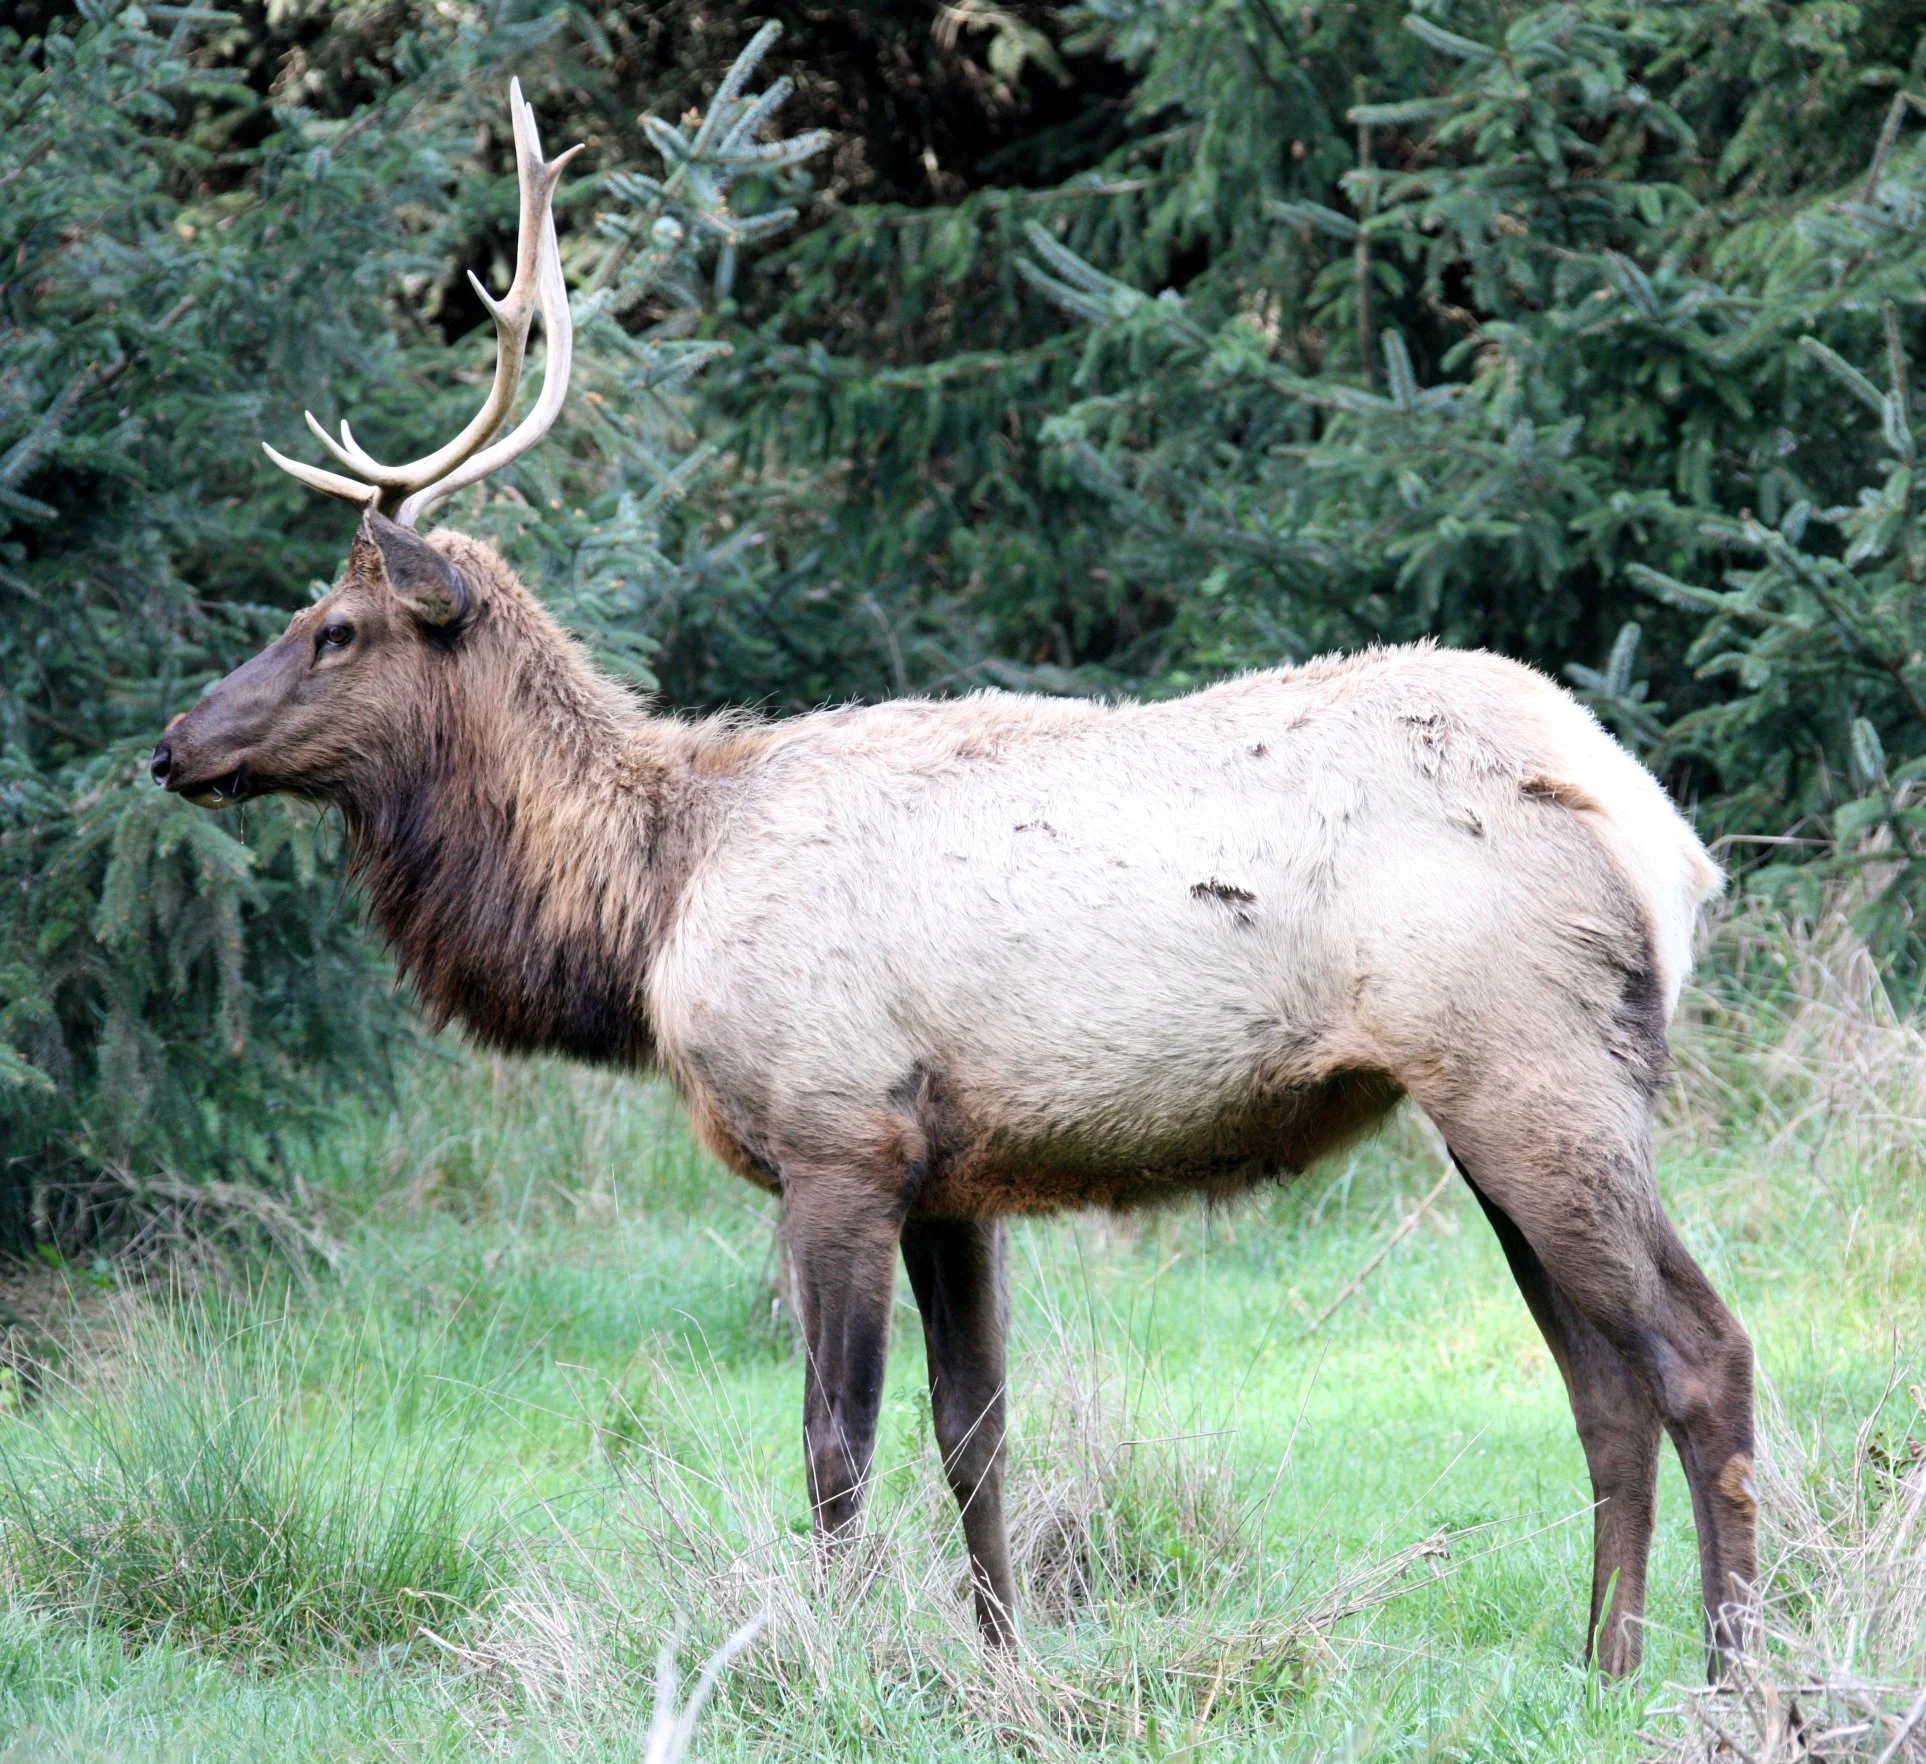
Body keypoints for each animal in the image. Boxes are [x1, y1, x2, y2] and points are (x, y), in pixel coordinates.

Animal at [150, 82, 1757, 1679]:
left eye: (336, 626)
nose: (174, 744)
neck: (652, 912)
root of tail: (1661, 841)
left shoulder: (836, 1135)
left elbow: (834, 1446)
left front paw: (832, 1662)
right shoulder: (952, 1175)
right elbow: (974, 1436)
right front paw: (1000, 1667)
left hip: (1527, 1062)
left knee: (1702, 1354)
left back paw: (1729, 1671)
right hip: (1493, 1093)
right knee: (1600, 1385)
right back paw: (1605, 1663)